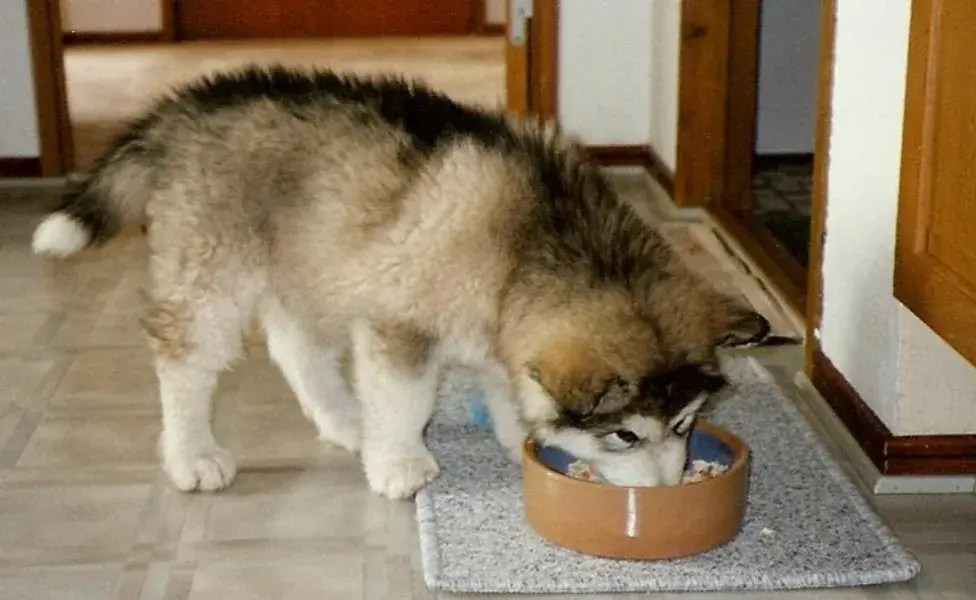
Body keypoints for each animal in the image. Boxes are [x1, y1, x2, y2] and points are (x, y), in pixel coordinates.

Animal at [30, 65, 772, 500]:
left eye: (686, 424)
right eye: (625, 436)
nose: (667, 491)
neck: (529, 239)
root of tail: (183, 108)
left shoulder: (505, 325)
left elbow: (509, 389)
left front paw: (519, 440)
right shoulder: (400, 322)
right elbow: (407, 398)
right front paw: (400, 463)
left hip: (315, 258)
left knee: (295, 345)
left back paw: (343, 420)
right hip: (216, 271)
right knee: (185, 358)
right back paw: (194, 453)